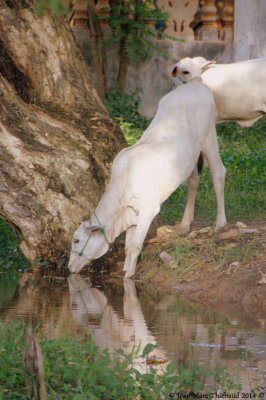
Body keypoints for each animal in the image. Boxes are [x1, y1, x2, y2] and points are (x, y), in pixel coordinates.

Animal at [68, 78, 227, 278]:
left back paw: (220, 223)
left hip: (209, 139)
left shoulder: (149, 208)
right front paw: (126, 270)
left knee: (218, 173)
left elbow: (136, 245)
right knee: (193, 180)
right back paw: (185, 224)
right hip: (190, 157)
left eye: (76, 240)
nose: (69, 267)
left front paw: (128, 277)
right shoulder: (132, 216)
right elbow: (128, 248)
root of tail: (195, 83)